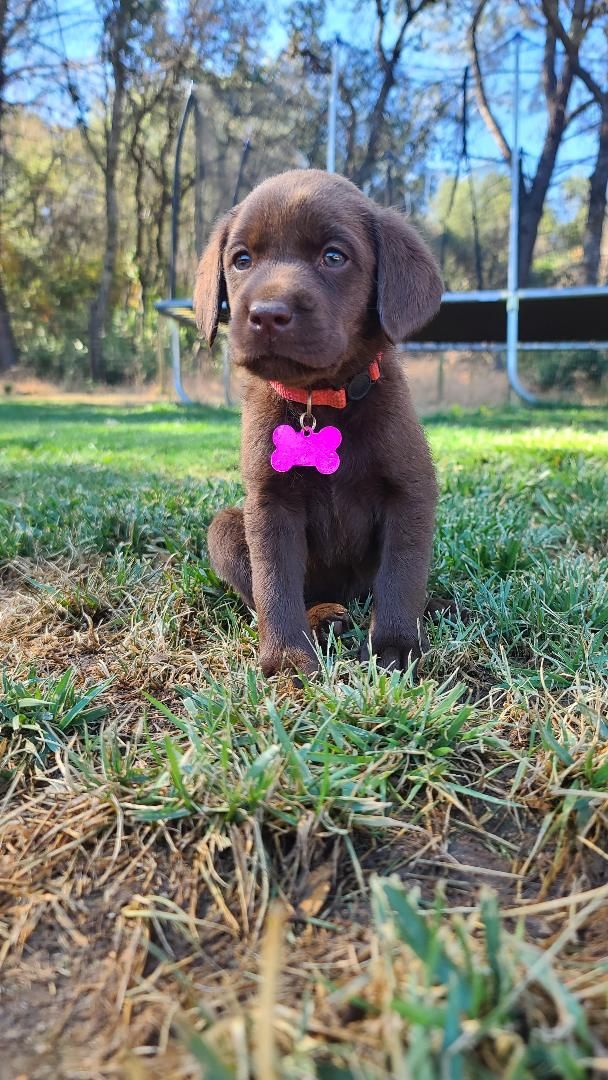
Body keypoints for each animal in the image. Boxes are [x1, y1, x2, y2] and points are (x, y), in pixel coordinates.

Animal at [194, 169, 443, 677]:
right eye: (242, 260)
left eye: (333, 256)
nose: (268, 314)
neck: (318, 400)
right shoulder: (270, 503)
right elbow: (274, 585)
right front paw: (288, 657)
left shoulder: (410, 491)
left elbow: (401, 574)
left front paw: (394, 646)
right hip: (226, 529)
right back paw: (323, 615)